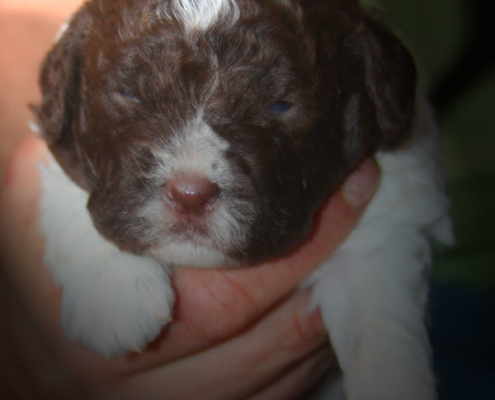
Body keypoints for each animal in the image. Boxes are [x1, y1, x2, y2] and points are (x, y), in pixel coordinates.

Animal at [34, 0, 454, 400]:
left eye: (281, 105)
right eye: (128, 93)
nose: (190, 194)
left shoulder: (385, 226)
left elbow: (380, 321)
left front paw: (393, 384)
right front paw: (114, 290)